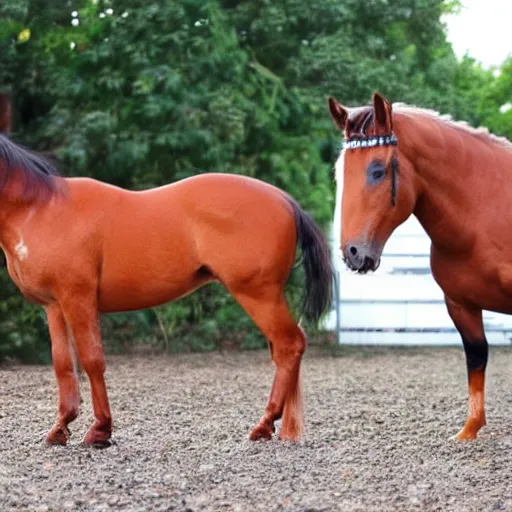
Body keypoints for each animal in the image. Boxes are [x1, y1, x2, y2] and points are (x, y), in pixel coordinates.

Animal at [0, 134, 334, 446]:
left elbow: (92, 359)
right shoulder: (54, 306)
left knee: (290, 345)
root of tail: (285, 200)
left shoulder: (78, 299)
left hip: (259, 295)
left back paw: (265, 424)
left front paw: (100, 429)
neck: (41, 209)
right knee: (283, 350)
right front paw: (60, 428)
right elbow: (62, 364)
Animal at [328, 91, 512, 440]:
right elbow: (476, 356)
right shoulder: (460, 305)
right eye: (339, 173)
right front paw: (470, 430)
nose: (353, 253)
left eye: (377, 171)